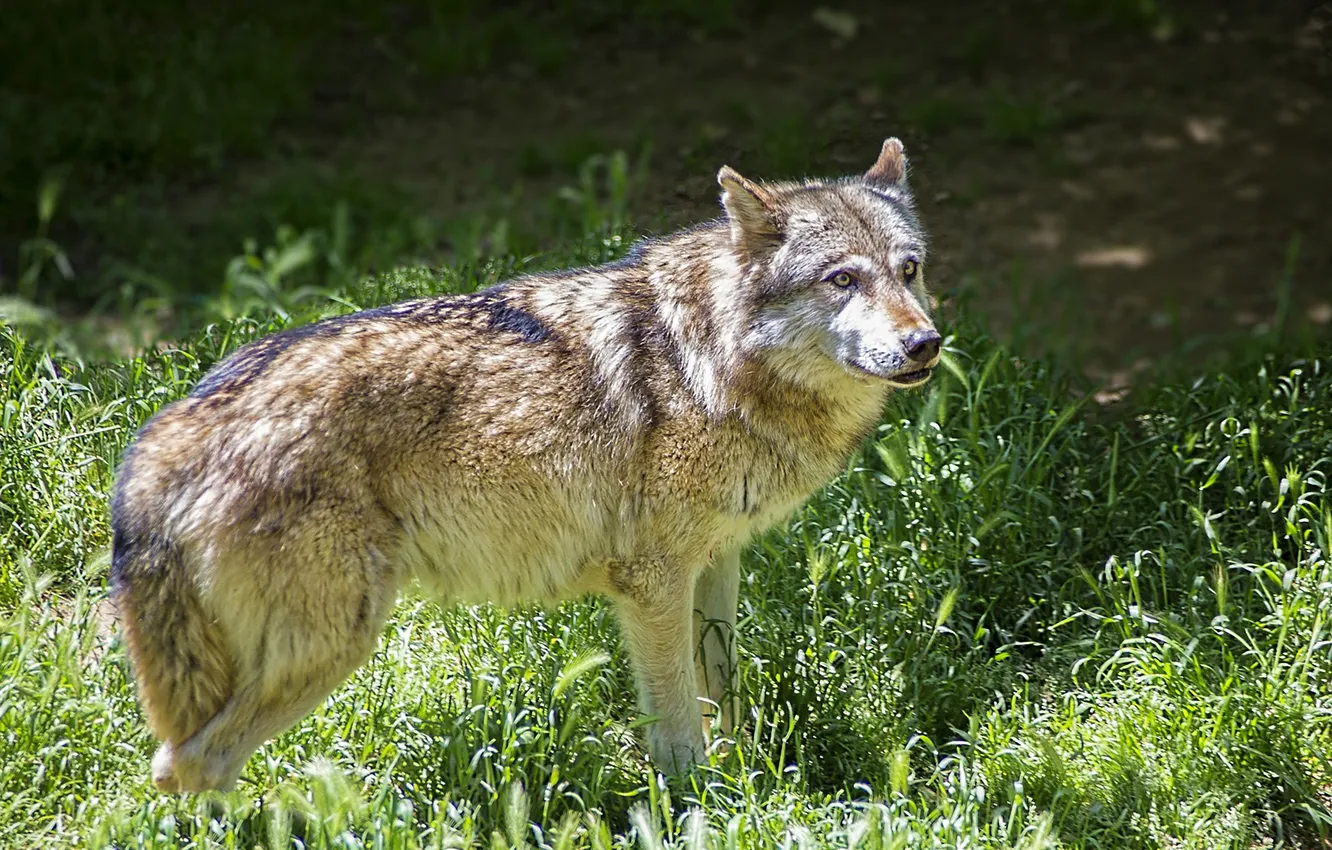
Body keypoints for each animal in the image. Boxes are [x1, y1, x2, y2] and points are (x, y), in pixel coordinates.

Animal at [110, 138, 940, 792]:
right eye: (842, 279)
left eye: (909, 271)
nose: (926, 343)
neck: (712, 359)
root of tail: (166, 430)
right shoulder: (652, 582)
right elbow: (676, 730)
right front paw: (706, 805)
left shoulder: (718, 560)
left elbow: (722, 691)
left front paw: (748, 779)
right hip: (329, 645)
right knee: (185, 766)